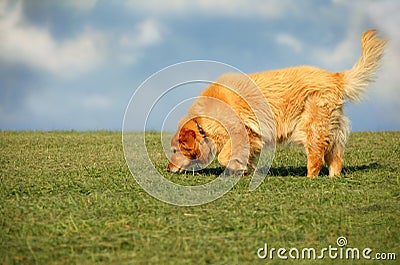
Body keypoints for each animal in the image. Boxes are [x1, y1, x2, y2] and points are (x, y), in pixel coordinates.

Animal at [166, 29, 384, 176]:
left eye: (175, 150)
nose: (168, 170)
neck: (203, 121)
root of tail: (335, 76)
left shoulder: (242, 131)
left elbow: (224, 157)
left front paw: (240, 167)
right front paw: (245, 169)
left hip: (311, 128)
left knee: (316, 159)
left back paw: (309, 179)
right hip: (330, 129)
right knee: (336, 159)